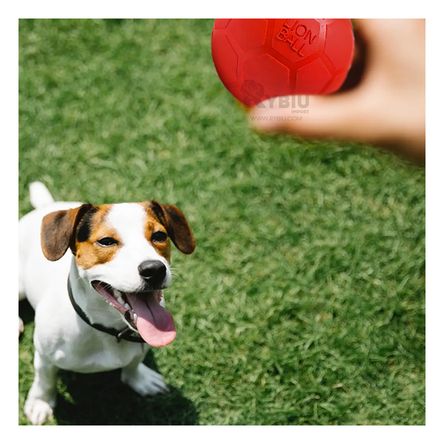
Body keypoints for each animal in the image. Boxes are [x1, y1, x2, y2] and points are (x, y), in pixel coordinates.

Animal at [18, 182, 196, 424]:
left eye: (159, 235)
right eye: (106, 241)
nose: (154, 270)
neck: (105, 328)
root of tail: (46, 206)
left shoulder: (139, 347)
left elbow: (133, 364)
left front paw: (139, 379)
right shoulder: (44, 355)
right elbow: (44, 380)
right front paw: (40, 402)